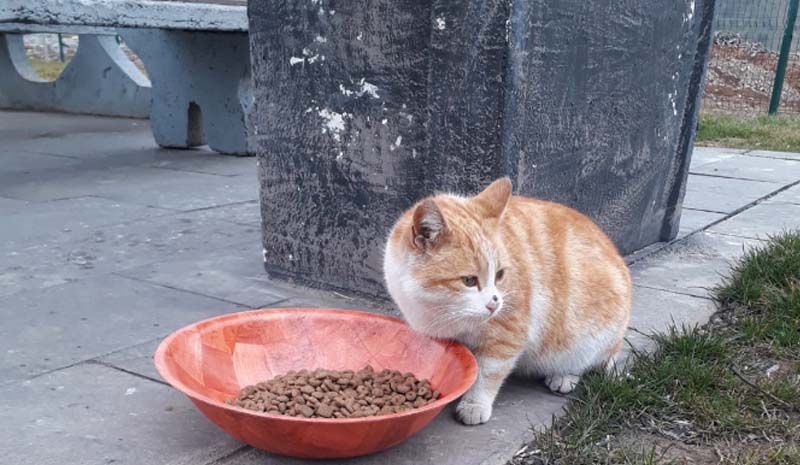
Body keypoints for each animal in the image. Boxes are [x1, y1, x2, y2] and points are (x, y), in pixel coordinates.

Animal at [382, 177, 632, 424]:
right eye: (469, 280)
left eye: (500, 274)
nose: (495, 303)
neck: (440, 311)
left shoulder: (506, 336)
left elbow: (486, 373)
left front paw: (474, 404)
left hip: (592, 339)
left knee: (591, 360)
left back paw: (564, 376)